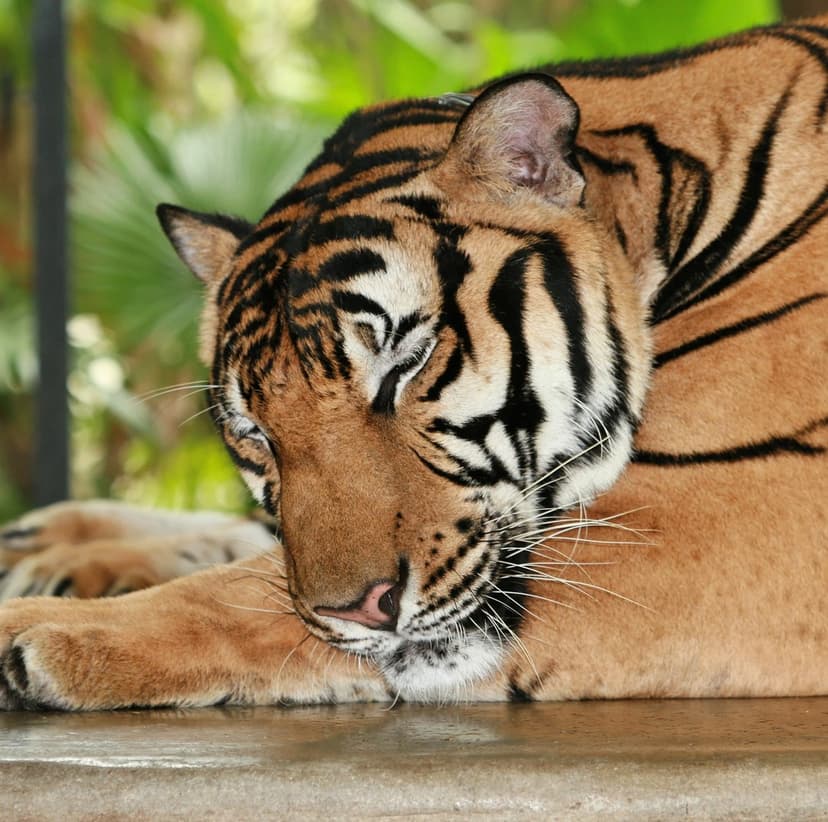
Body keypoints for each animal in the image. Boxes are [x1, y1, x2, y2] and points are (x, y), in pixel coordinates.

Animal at [0, 16, 825, 710]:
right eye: (256, 434)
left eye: (407, 364)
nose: (358, 611)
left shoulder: (734, 509)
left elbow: (241, 593)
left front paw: (38, 625)